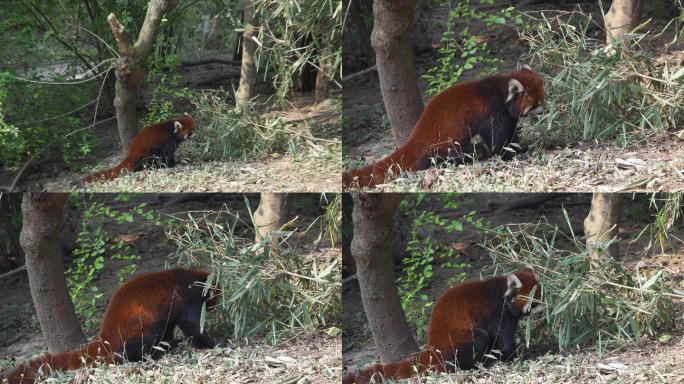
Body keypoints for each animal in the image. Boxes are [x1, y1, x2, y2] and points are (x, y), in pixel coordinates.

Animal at [1, 268, 218, 382]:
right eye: (215, 297)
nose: (216, 306)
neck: (192, 277)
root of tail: (105, 335)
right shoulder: (187, 298)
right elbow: (193, 326)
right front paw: (214, 343)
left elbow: (173, 326)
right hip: (138, 327)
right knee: (144, 342)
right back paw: (152, 354)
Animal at [344, 67, 548, 190]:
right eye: (535, 104)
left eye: (542, 100)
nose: (544, 111)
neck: (502, 90)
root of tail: (417, 136)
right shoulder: (493, 109)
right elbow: (497, 138)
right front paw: (512, 151)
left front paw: (519, 145)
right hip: (446, 140)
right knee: (453, 153)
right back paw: (474, 153)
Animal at [344, 268, 544, 382]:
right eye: (534, 302)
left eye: (541, 299)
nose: (543, 312)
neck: (503, 293)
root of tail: (433, 347)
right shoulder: (496, 312)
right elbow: (503, 339)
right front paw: (520, 356)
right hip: (455, 342)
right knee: (480, 337)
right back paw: (475, 365)